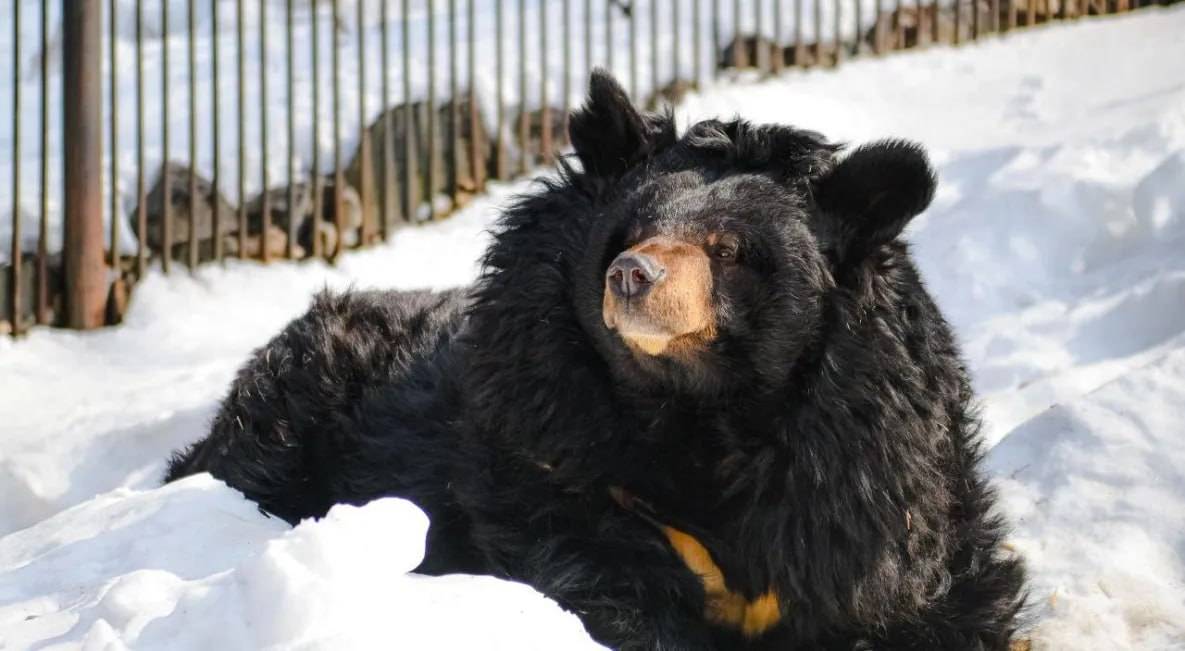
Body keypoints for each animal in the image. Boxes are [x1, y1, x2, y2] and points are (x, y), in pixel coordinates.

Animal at [169, 72, 1028, 649]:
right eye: (634, 230)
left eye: (729, 249)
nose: (631, 276)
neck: (699, 412)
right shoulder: (551, 439)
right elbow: (595, 571)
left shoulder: (863, 460)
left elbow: (922, 591)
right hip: (286, 424)